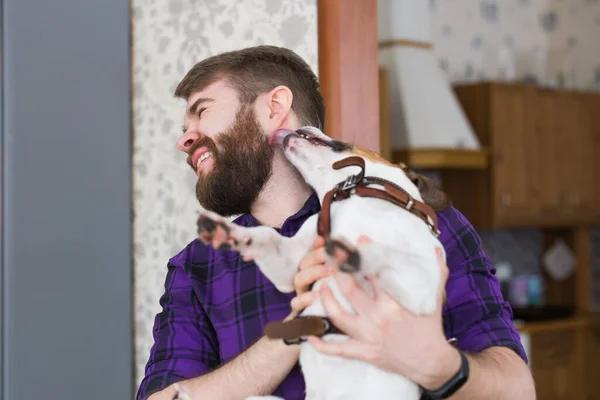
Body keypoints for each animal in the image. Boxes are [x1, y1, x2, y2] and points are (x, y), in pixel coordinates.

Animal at [192, 126, 450, 400]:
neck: (357, 198)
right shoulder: (288, 264)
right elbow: (266, 236)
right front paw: (228, 231)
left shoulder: (421, 288)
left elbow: (382, 252)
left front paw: (348, 251)